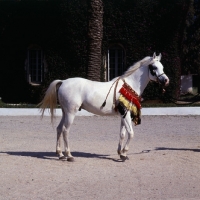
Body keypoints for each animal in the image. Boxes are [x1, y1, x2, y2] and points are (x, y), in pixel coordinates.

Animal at [38, 52, 169, 161]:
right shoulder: (126, 113)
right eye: (154, 67)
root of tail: (63, 82)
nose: (166, 80)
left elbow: (122, 134)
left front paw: (121, 153)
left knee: (59, 129)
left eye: (162, 67)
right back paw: (69, 155)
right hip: (71, 113)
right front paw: (124, 153)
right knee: (65, 131)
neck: (129, 86)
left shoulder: (122, 114)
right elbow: (131, 133)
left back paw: (60, 154)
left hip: (65, 112)